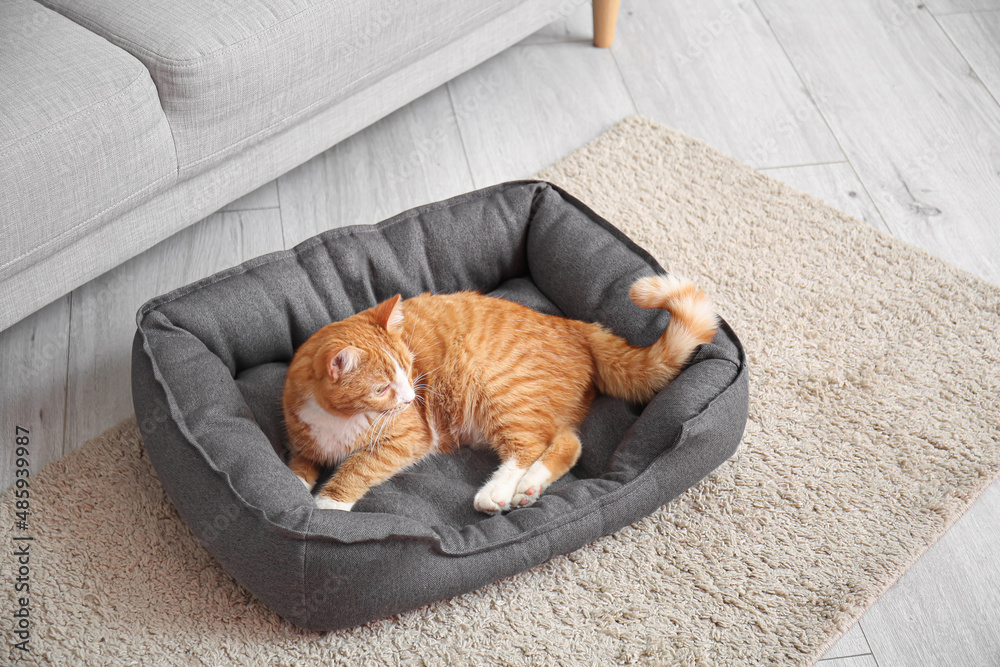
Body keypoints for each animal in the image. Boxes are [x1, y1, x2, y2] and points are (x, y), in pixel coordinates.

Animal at [284, 274, 720, 516]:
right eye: (381, 388)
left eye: (409, 369)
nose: (409, 399)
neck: (339, 422)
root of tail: (575, 325)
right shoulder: (304, 441)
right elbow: (298, 465)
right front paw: (295, 486)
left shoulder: (407, 437)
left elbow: (359, 467)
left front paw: (328, 504)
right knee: (568, 441)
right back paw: (530, 488)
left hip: (499, 391)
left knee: (531, 445)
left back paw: (498, 492)